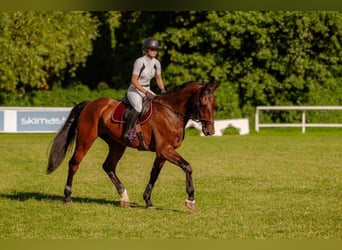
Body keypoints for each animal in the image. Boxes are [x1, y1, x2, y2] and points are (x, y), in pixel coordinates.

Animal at [46, 81, 219, 209]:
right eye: (202, 103)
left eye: (214, 104)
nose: (209, 131)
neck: (172, 112)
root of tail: (90, 104)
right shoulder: (164, 150)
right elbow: (187, 166)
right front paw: (190, 200)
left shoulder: (162, 153)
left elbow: (154, 174)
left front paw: (148, 201)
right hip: (85, 141)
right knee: (74, 164)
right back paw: (67, 197)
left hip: (117, 145)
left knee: (108, 166)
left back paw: (124, 196)